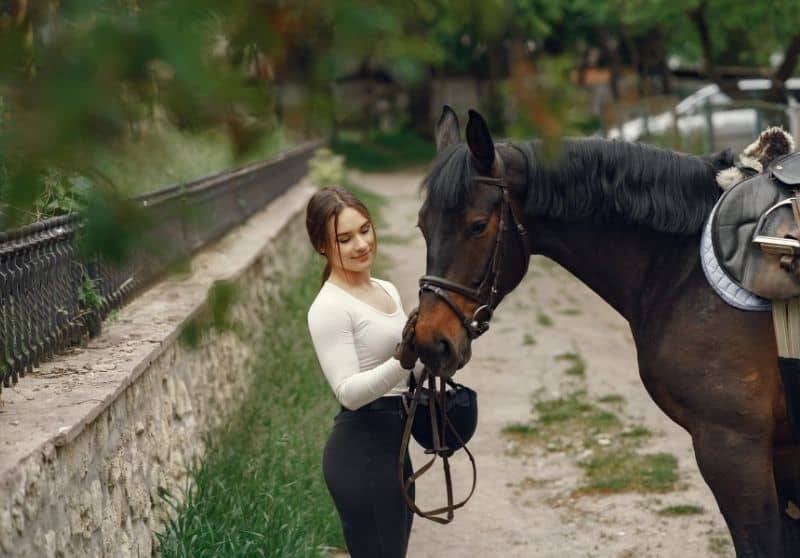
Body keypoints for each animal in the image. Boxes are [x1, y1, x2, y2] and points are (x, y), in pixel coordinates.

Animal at [412, 105, 800, 557]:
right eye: (422, 225)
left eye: (477, 225)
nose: (430, 341)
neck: (685, 269)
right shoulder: (780, 450)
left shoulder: (734, 447)